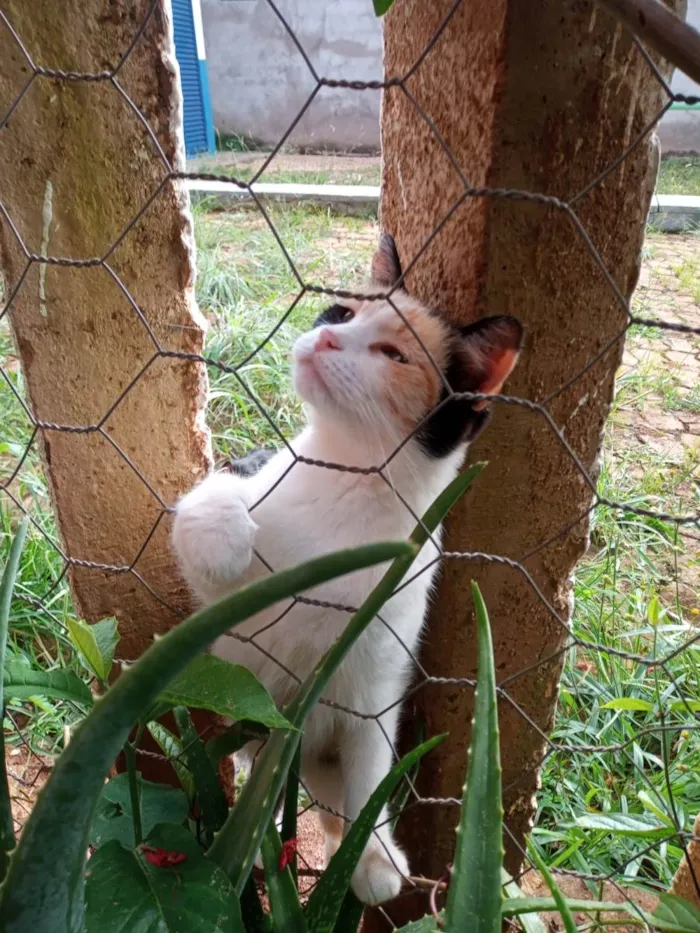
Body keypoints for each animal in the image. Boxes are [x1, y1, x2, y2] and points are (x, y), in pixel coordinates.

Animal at [172, 233, 524, 904]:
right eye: (340, 312)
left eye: (393, 354)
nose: (329, 338)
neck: (348, 482)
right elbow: (210, 509)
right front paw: (225, 536)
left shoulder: (376, 684)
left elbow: (371, 772)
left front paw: (374, 855)